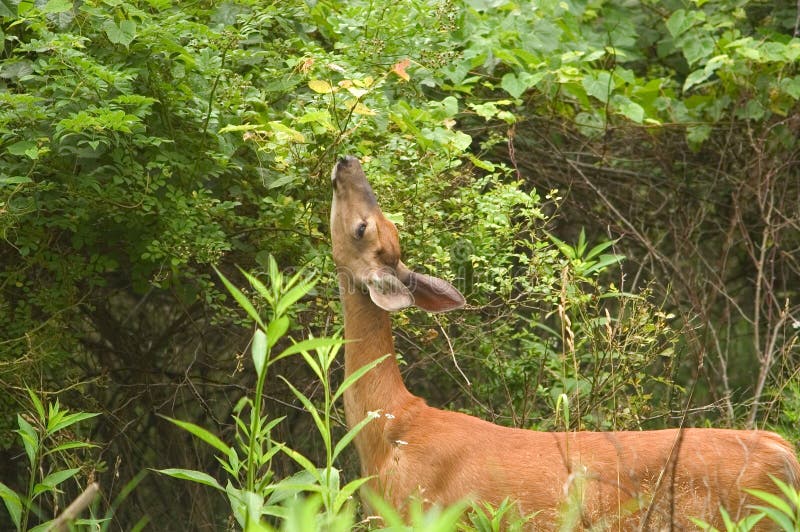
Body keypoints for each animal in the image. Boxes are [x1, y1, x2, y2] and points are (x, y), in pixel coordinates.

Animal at [328, 154, 796, 528]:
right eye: (383, 222)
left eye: (362, 228)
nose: (347, 161)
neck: (390, 428)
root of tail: (786, 453)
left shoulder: (416, 511)